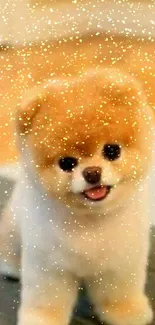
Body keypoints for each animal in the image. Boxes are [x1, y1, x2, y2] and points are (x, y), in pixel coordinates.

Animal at [0, 67, 154, 324]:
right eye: (66, 163)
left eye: (112, 150)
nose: (92, 172)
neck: (89, 221)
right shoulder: (49, 266)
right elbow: (47, 299)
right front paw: (42, 319)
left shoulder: (120, 262)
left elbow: (119, 292)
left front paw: (127, 312)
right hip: (14, 227)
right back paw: (10, 266)